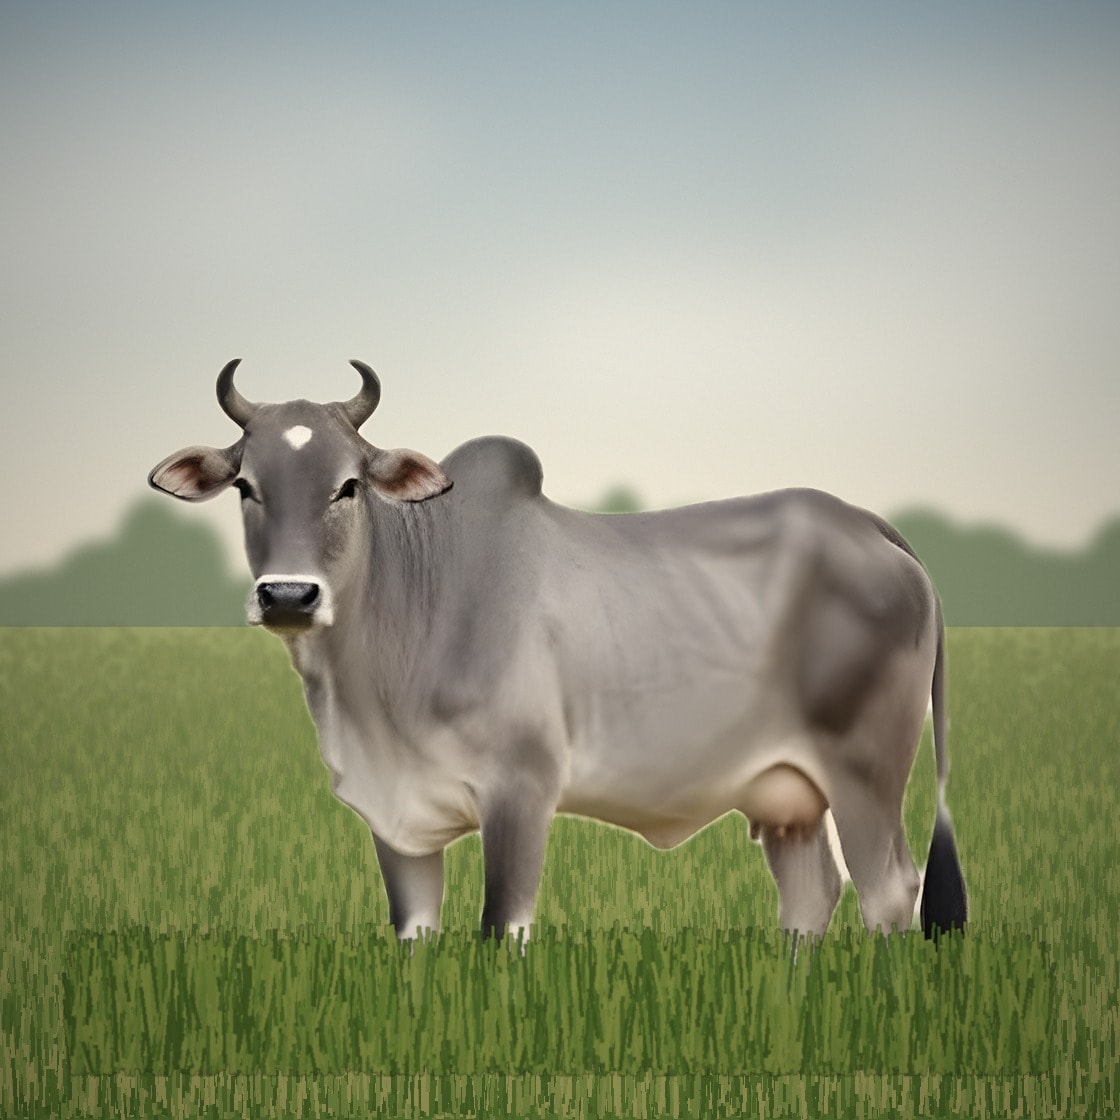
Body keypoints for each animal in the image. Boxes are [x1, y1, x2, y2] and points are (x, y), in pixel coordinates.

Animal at [149, 359, 967, 943]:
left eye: (348, 486)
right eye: (246, 486)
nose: (288, 595)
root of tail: (864, 522)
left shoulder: (521, 791)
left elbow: (498, 928)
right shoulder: (398, 822)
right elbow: (415, 935)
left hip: (866, 771)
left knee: (890, 891)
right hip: (786, 791)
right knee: (810, 894)